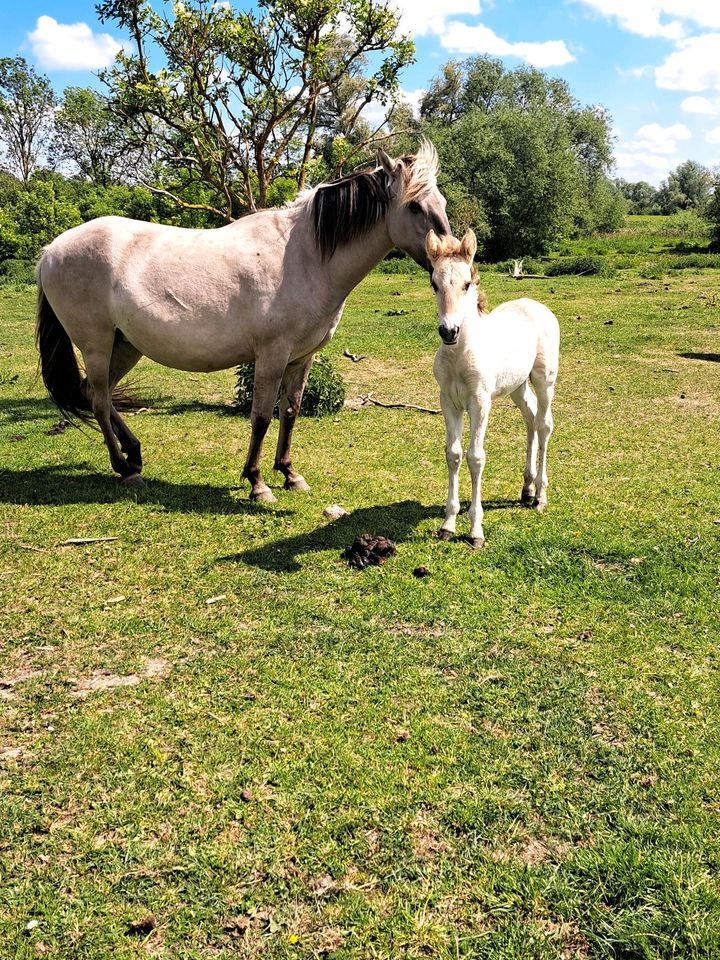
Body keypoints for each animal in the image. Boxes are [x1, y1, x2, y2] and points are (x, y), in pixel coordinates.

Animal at [36, 144, 450, 502]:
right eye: (414, 206)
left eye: (441, 203)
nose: (446, 260)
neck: (305, 256)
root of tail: (51, 251)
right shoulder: (271, 355)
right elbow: (262, 416)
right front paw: (257, 483)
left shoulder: (302, 358)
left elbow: (290, 412)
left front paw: (290, 473)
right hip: (96, 344)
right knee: (99, 400)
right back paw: (124, 467)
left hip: (125, 346)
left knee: (98, 395)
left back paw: (133, 456)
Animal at [428, 226, 564, 552]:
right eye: (434, 284)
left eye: (466, 284)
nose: (449, 331)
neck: (460, 354)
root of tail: (535, 305)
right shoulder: (448, 402)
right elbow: (453, 454)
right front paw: (448, 524)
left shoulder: (480, 402)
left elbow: (476, 457)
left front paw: (475, 530)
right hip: (517, 385)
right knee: (530, 419)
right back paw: (526, 489)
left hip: (544, 379)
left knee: (544, 424)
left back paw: (540, 495)